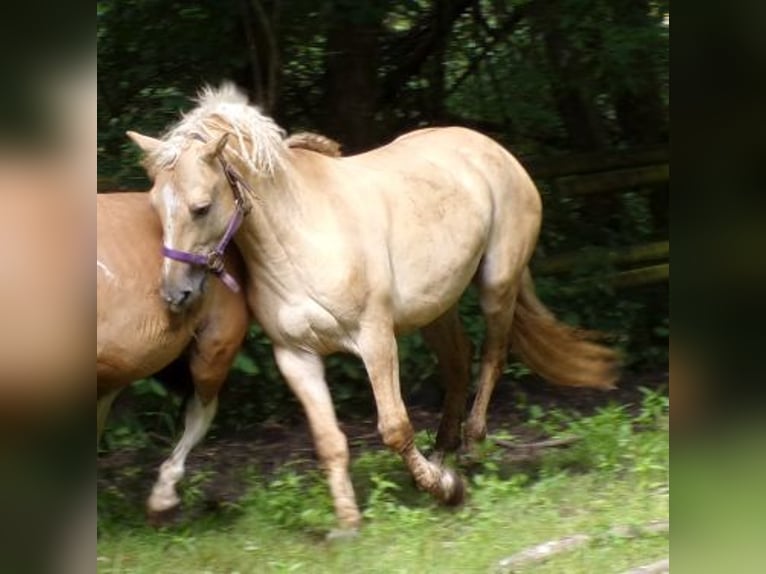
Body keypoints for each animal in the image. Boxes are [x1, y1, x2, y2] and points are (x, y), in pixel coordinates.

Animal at [129, 84, 620, 536]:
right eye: (154, 205)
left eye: (201, 207)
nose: (175, 295)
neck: (300, 237)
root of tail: (493, 150)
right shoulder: (296, 356)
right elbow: (328, 441)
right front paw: (348, 523)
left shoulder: (375, 338)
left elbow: (394, 427)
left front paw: (446, 490)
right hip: (435, 307)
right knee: (458, 362)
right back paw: (442, 453)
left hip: (497, 286)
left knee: (492, 357)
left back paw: (469, 451)